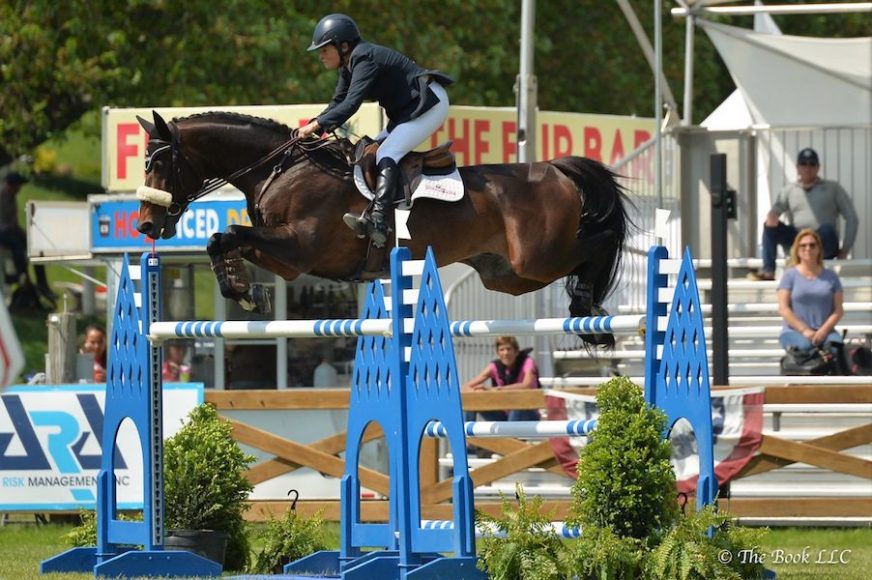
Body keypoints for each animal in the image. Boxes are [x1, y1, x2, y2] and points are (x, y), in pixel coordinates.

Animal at [136, 110, 632, 344]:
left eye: (157, 164)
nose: (145, 224)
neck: (280, 169)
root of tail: (554, 169)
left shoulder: (298, 249)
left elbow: (228, 235)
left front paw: (243, 292)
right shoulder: (285, 255)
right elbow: (223, 240)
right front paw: (243, 289)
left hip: (538, 257)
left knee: (602, 240)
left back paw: (587, 307)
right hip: (508, 274)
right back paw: (591, 315)